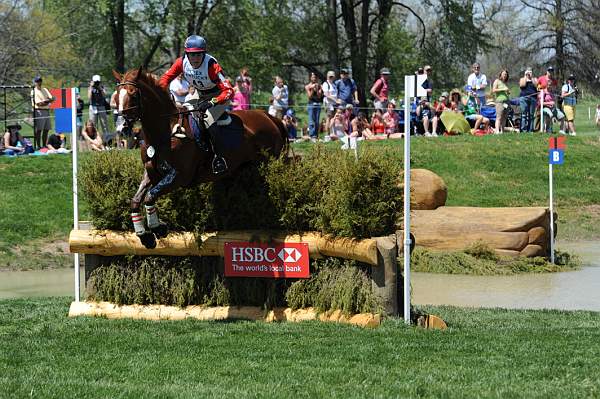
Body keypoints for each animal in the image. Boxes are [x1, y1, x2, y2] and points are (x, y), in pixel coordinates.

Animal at [114, 69, 288, 250]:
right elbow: (136, 200)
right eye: (117, 95)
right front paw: (144, 236)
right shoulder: (151, 173)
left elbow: (149, 196)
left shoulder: (180, 177)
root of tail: (270, 117)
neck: (165, 132)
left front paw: (158, 228)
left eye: (133, 94)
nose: (122, 128)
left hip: (268, 164)